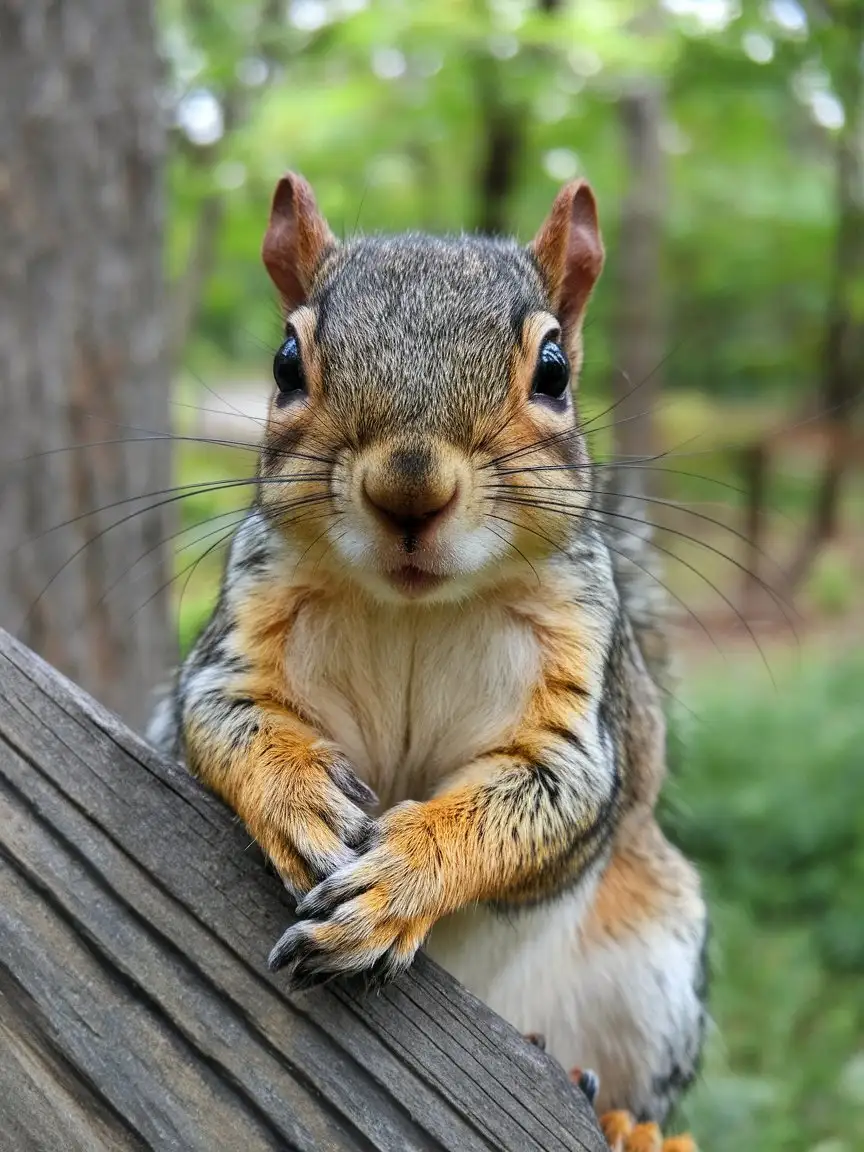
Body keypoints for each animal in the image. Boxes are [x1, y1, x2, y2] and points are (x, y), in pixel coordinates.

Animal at [148, 170, 709, 1152]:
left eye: (554, 372)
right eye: (285, 364)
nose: (409, 487)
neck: (413, 611)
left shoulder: (577, 703)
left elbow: (549, 796)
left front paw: (399, 881)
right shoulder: (233, 648)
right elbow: (221, 723)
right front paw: (299, 800)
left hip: (654, 965)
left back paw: (616, 1115)